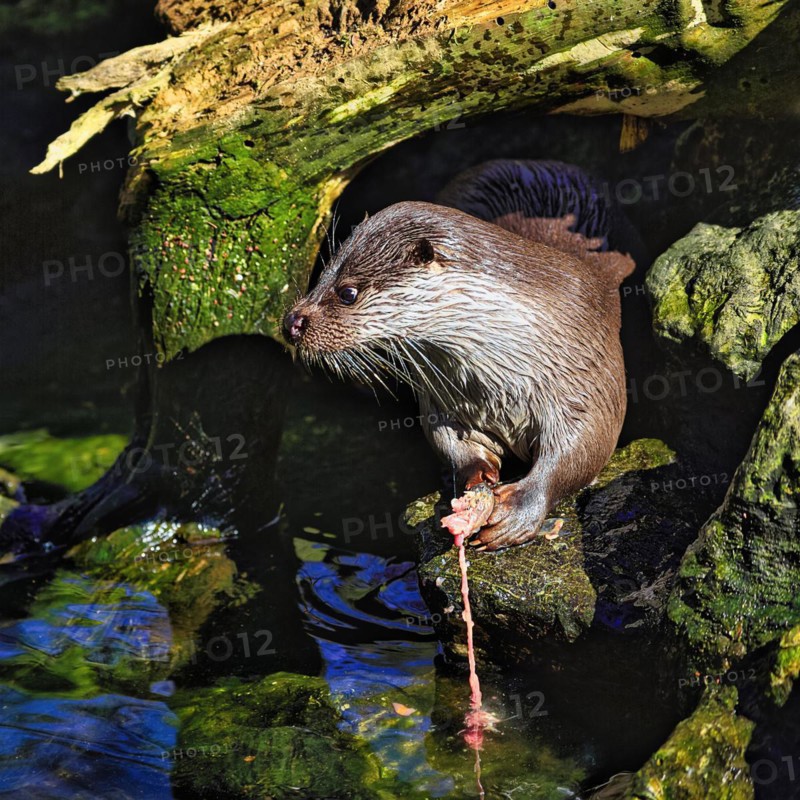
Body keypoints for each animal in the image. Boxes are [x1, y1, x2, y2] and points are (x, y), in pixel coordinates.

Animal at [283, 160, 635, 550]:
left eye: (347, 293)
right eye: (321, 278)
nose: (291, 322)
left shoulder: (583, 376)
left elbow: (581, 451)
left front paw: (519, 509)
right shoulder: (444, 397)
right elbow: (449, 441)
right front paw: (474, 478)